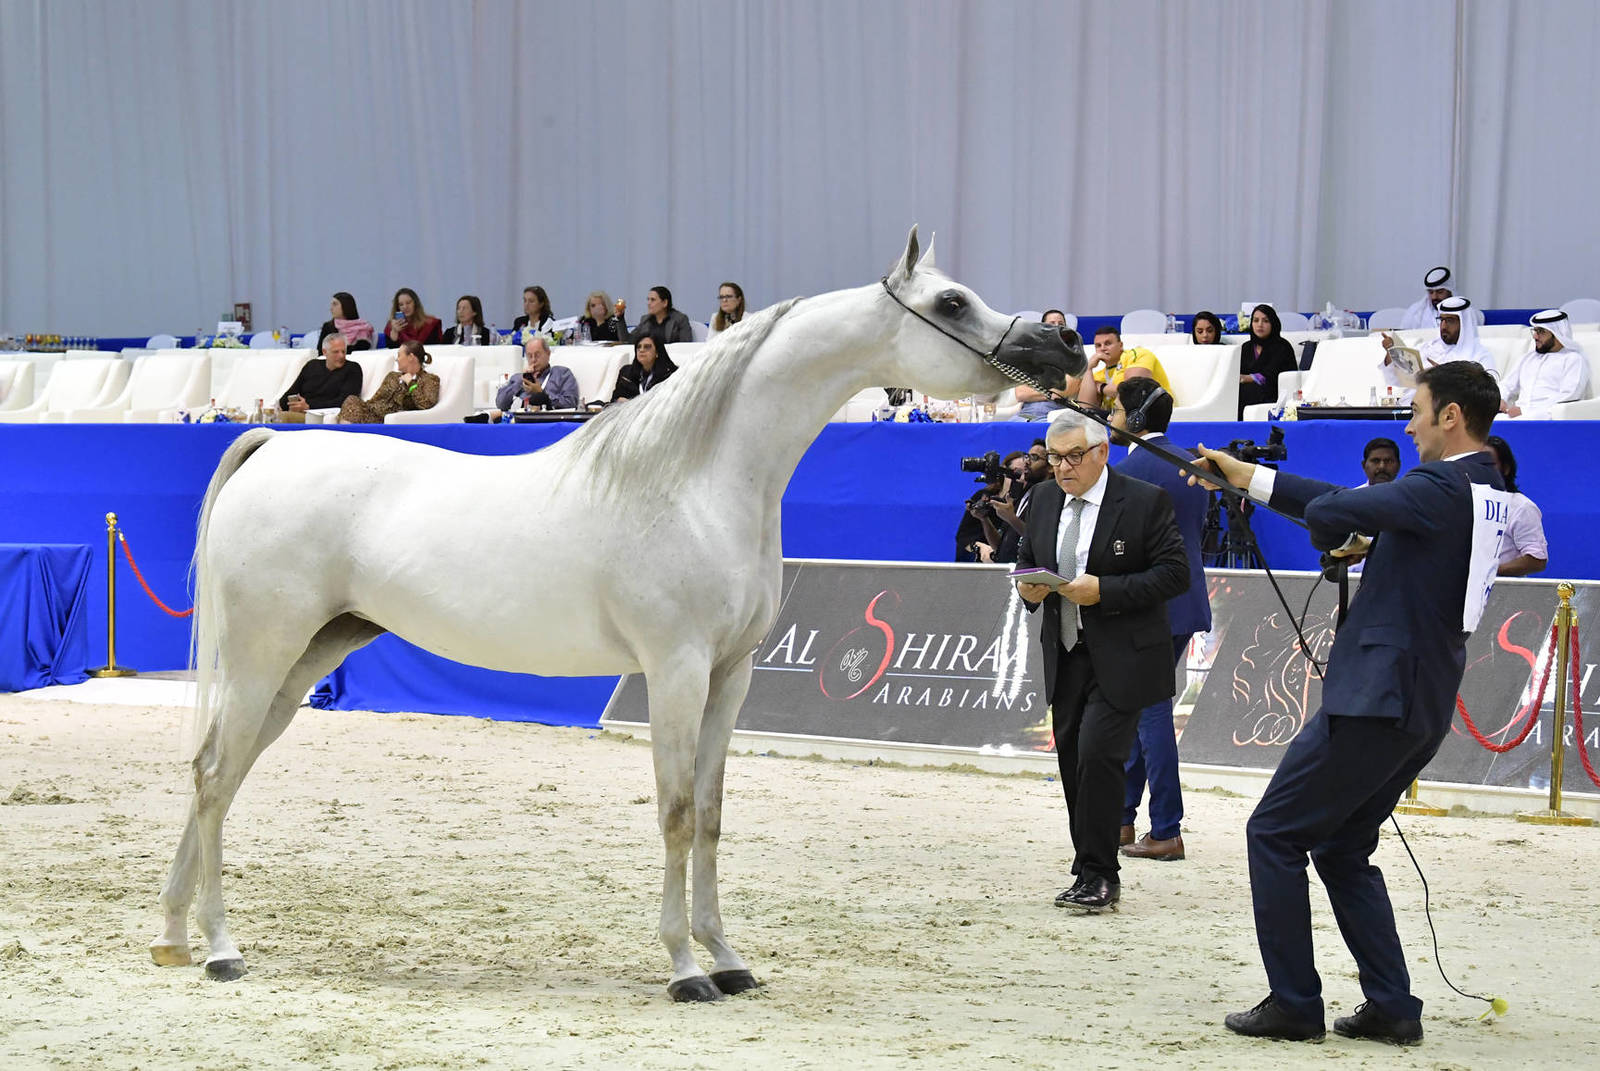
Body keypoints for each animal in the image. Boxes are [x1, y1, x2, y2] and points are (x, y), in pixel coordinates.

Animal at [149, 227, 1084, 1001]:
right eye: (951, 302)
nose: (1063, 342)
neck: (698, 481)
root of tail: (272, 446)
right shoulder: (674, 670)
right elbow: (674, 812)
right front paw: (683, 968)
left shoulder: (730, 676)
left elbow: (710, 814)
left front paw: (728, 958)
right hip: (264, 655)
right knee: (212, 775)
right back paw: (221, 947)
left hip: (300, 663)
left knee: (215, 774)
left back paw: (174, 938)